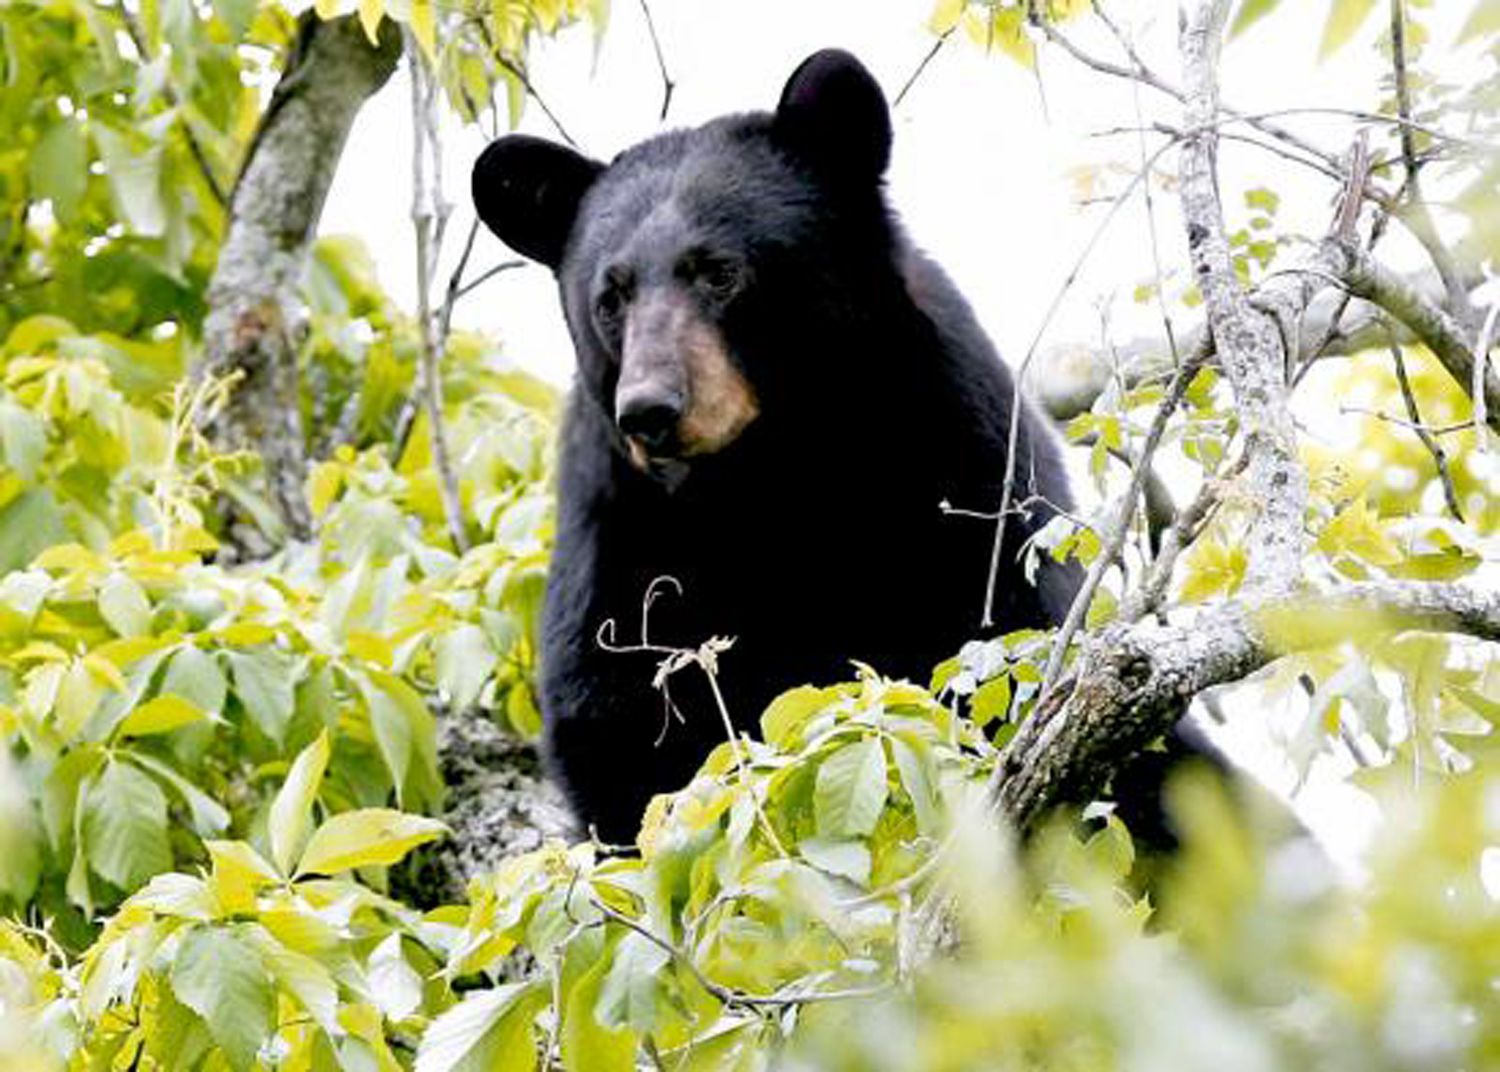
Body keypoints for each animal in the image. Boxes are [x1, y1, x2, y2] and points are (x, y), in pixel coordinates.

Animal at [474, 50, 1086, 845]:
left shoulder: (963, 461)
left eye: (719, 271)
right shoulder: (618, 534)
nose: (649, 410)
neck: (774, 477)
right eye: (610, 297)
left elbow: (1014, 634)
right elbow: (618, 735)